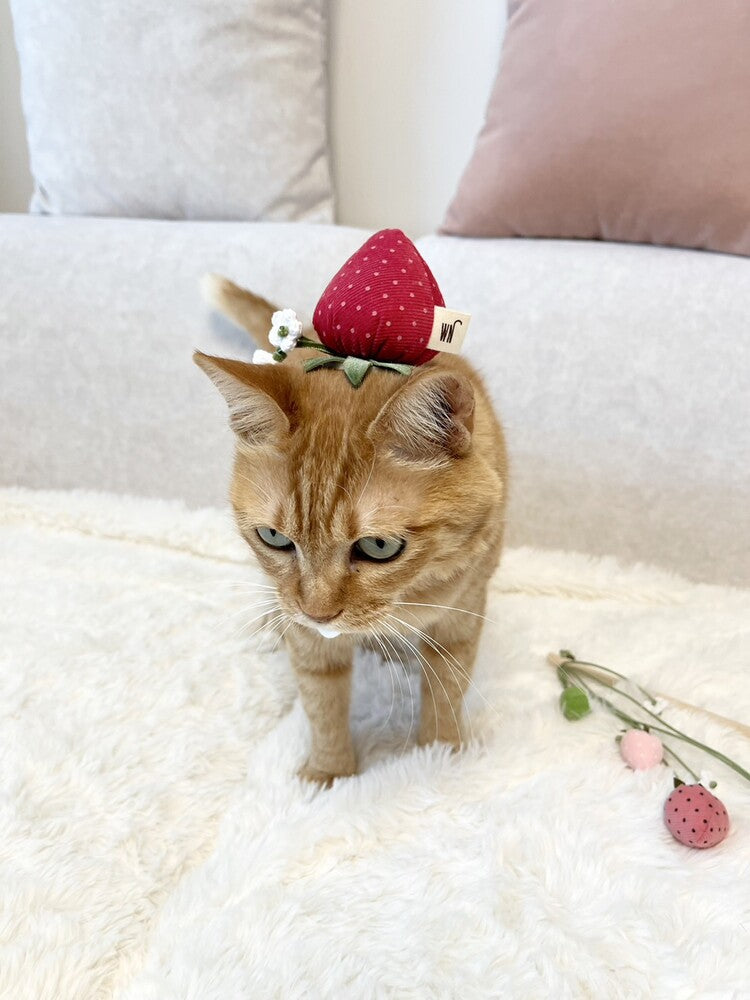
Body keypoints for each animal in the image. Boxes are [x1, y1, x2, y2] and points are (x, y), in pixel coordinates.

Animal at [197, 278, 508, 784]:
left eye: (379, 546)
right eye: (274, 539)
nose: (318, 614)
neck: (410, 593)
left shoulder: (461, 613)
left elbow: (446, 689)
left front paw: (439, 756)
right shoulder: (311, 644)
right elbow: (322, 700)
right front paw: (330, 773)